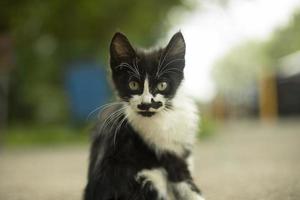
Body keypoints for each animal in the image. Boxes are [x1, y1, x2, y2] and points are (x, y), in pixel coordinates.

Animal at [83, 32, 205, 199]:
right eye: (133, 85)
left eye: (162, 85)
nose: (146, 103)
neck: (166, 116)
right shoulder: (167, 155)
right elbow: (185, 181)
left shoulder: (183, 149)